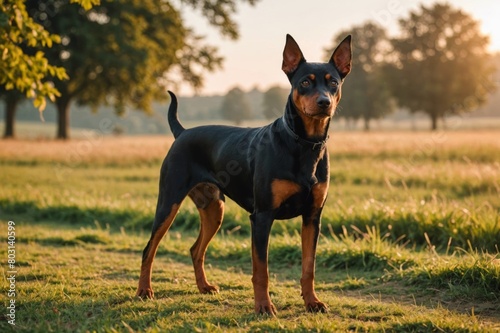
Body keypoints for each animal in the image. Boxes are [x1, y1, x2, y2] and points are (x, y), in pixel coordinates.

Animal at [137, 33, 352, 314]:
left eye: (333, 83)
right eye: (305, 82)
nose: (324, 102)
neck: (304, 144)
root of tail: (182, 132)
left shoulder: (313, 217)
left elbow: (309, 267)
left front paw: (312, 302)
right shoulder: (262, 216)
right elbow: (261, 270)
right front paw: (263, 306)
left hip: (214, 208)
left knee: (196, 249)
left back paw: (204, 287)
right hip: (168, 202)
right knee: (149, 249)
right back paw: (144, 291)